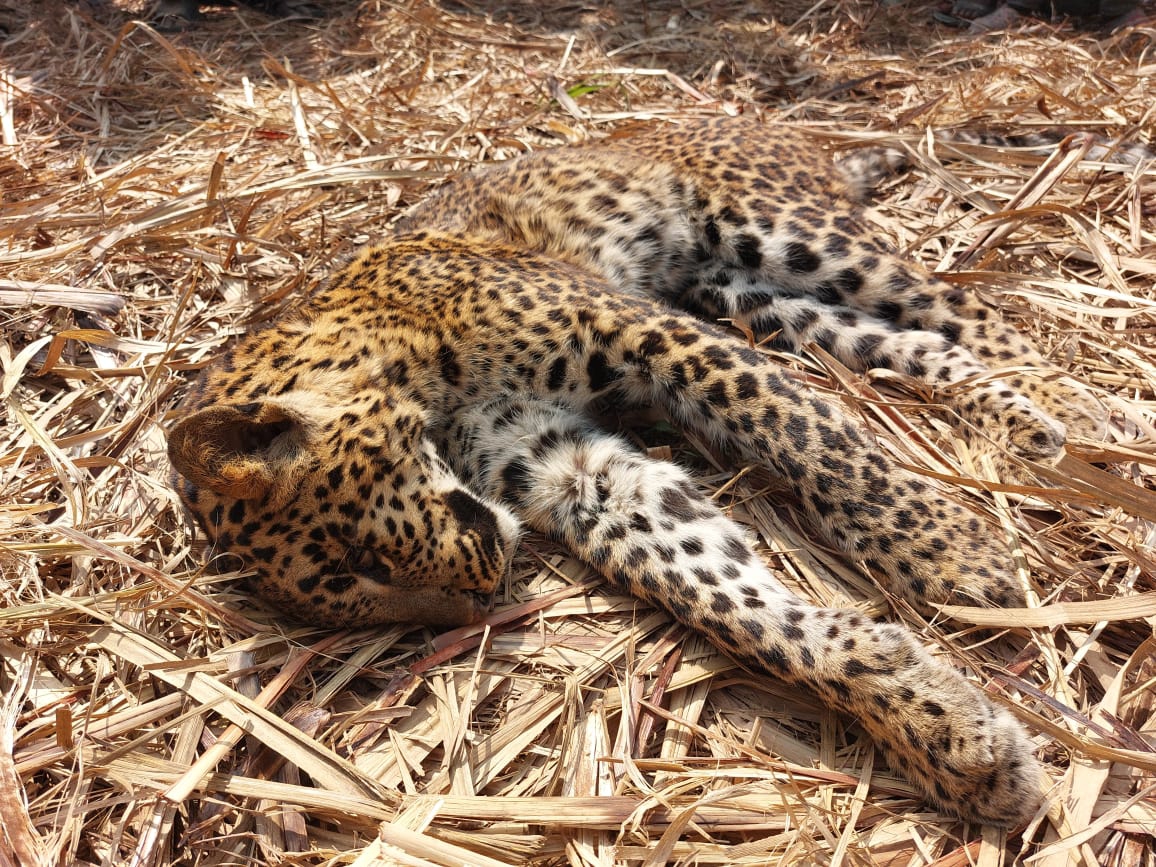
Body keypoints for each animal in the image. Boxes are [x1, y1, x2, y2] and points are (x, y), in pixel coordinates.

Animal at [167, 117, 1118, 827]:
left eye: (354, 558)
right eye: (357, 593)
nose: (481, 593)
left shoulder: (636, 327)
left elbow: (804, 428)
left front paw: (951, 549)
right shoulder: (573, 471)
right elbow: (728, 597)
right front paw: (942, 728)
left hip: (787, 237)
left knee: (961, 308)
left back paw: (1080, 409)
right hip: (756, 299)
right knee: (919, 346)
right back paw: (1037, 421)